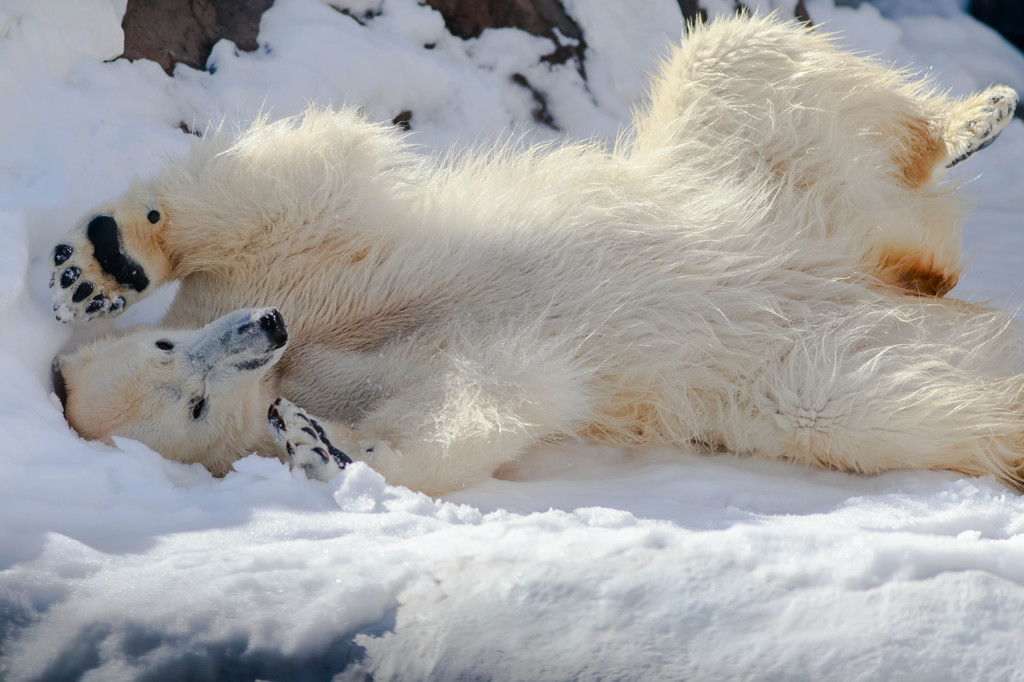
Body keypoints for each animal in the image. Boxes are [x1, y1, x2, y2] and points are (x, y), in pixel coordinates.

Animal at [48, 14, 1024, 493]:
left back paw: (976, 118)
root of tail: (876, 270)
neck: (296, 350)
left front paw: (99, 266)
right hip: (814, 365)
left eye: (167, 342)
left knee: (739, 59)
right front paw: (327, 449)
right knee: (931, 393)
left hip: (762, 179)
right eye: (194, 407)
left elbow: (299, 182)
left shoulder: (280, 272)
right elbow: (485, 393)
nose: (265, 332)